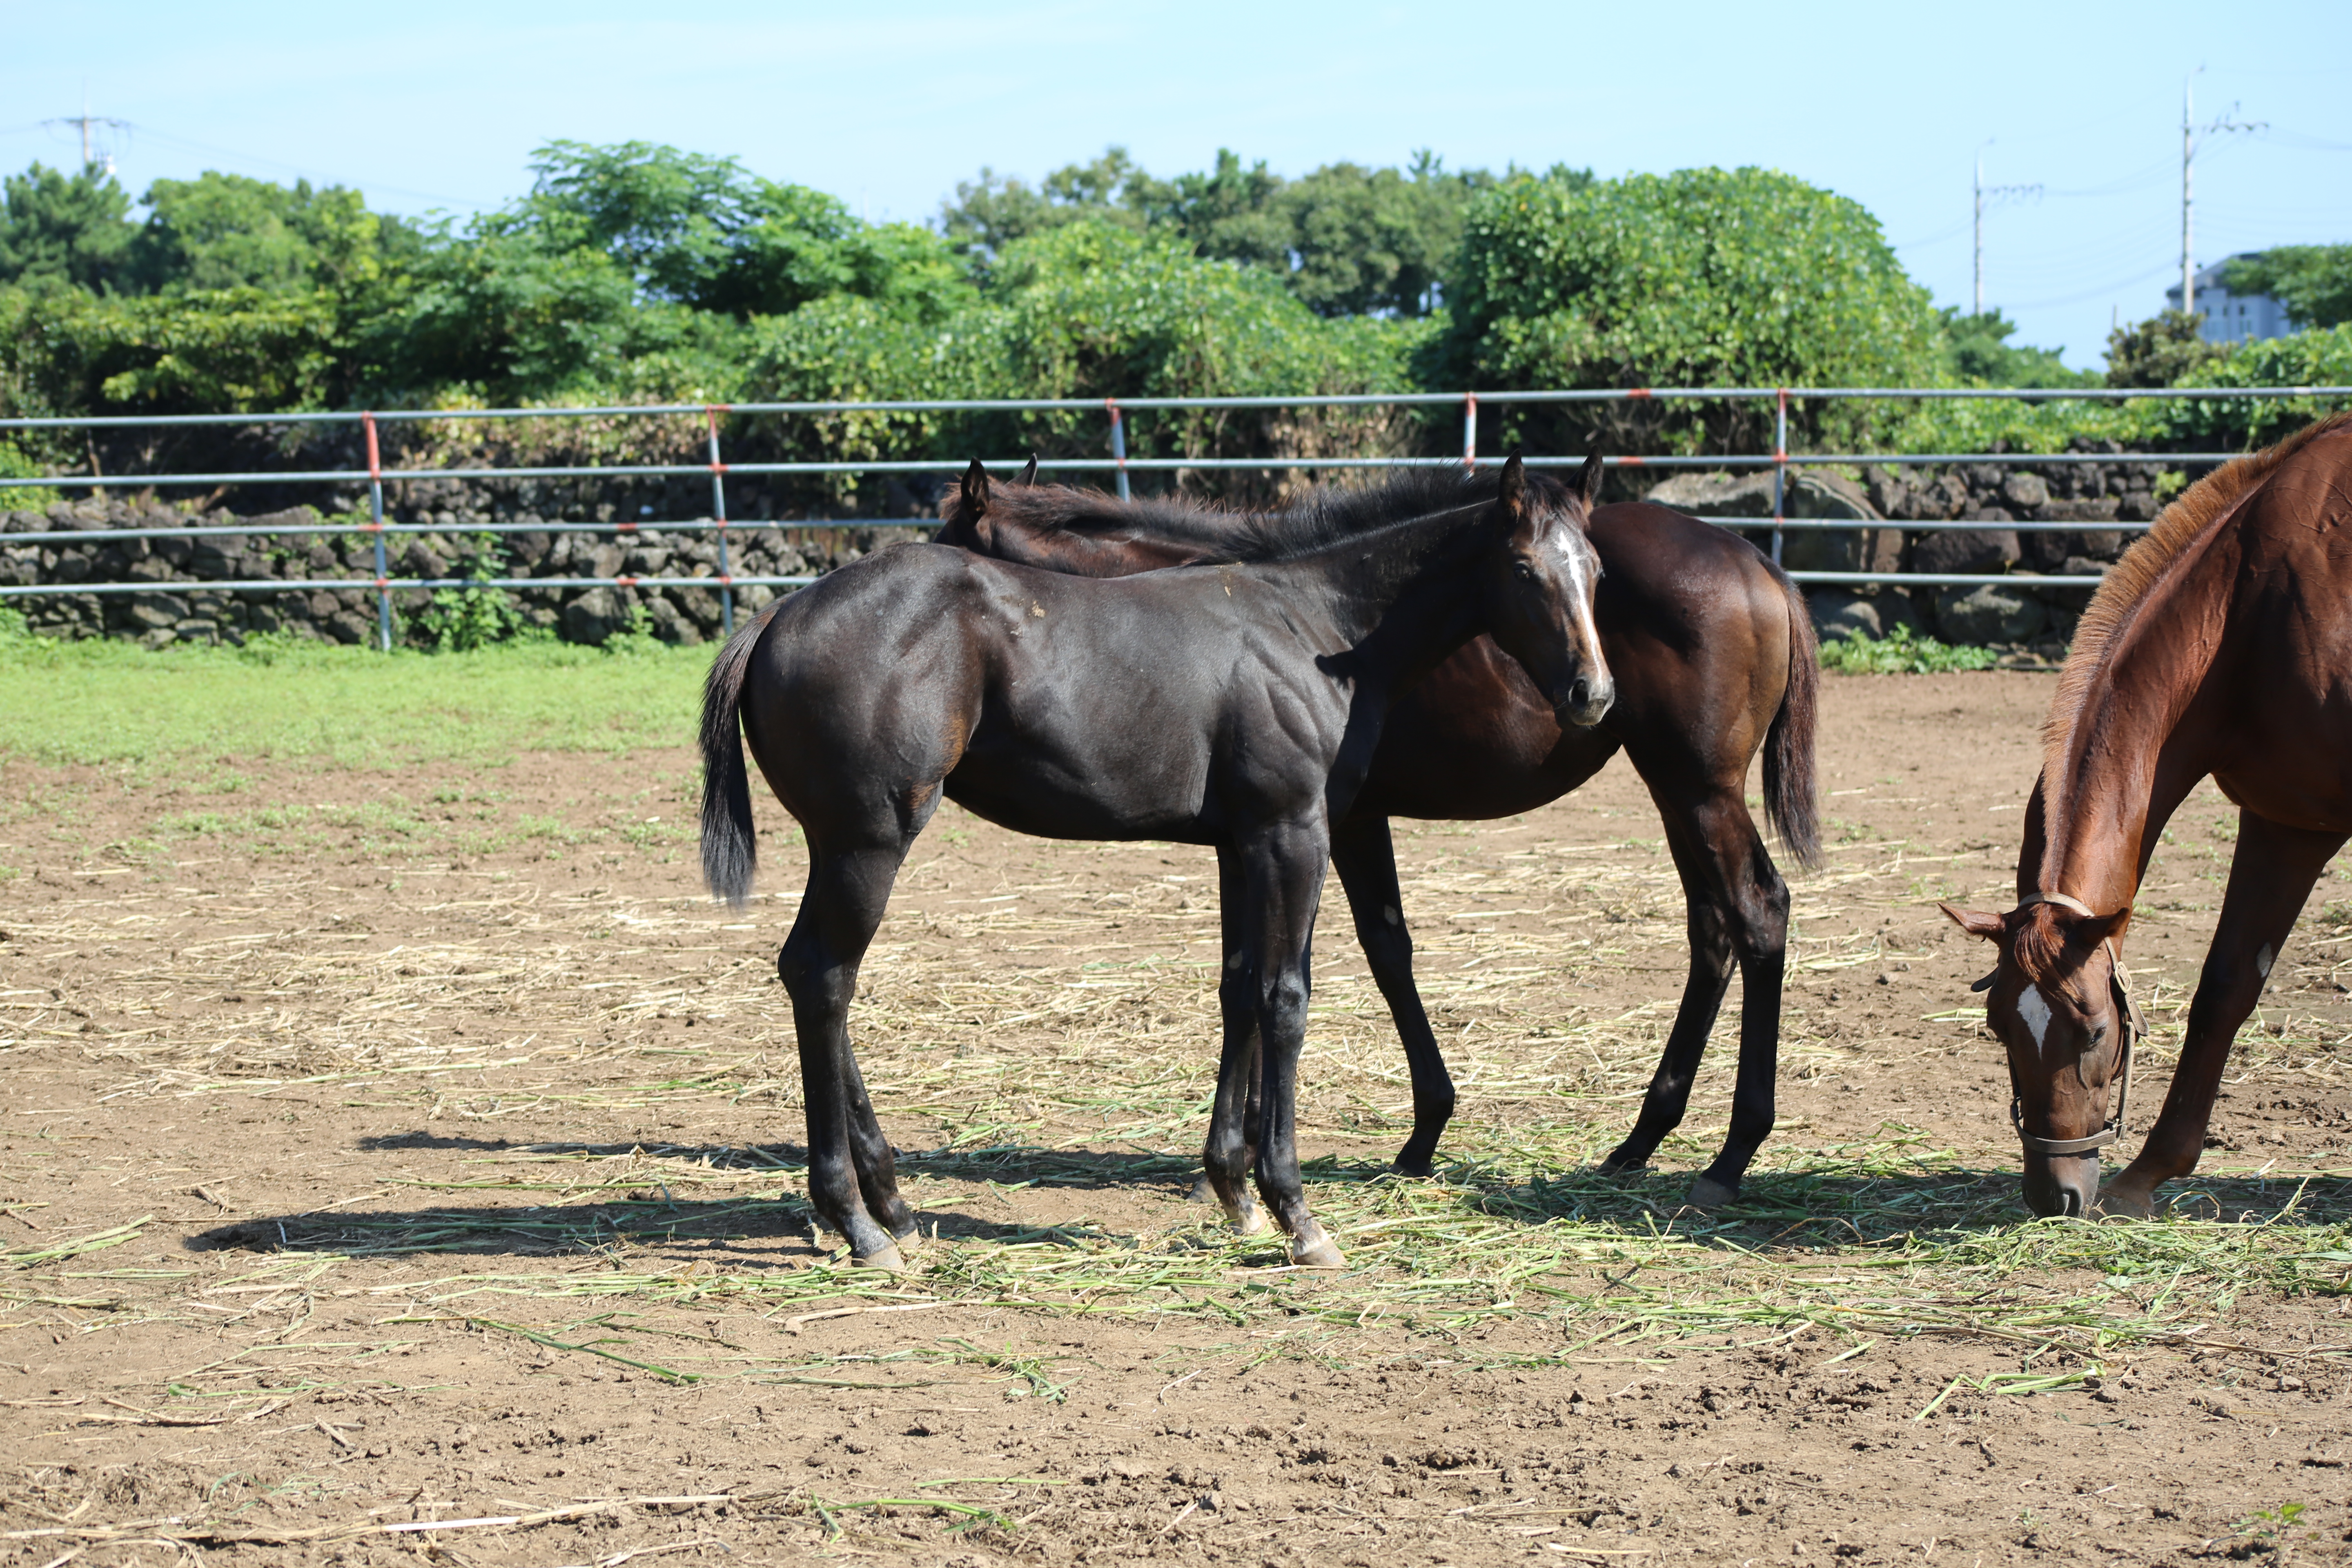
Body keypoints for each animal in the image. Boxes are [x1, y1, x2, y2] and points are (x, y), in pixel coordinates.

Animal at [706, 461, 1608, 1269]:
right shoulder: (1293, 832)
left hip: (840, 845)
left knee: (810, 975)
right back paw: (859, 1221)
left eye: (1595, 570)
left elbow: (1241, 990)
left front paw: (1235, 1192)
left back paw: (891, 1205)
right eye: (1525, 570)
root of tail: (778, 613)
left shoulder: (1243, 844)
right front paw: (1296, 1212)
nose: (1592, 695)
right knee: (824, 978)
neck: (1317, 625)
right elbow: (1286, 1001)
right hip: (869, 843)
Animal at [936, 461, 1815, 1213]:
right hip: (1673, 790)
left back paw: (1732, 1154)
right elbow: (1273, 970)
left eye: (946, 541)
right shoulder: (1262, 834)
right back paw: (1641, 1140)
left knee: (1759, 911)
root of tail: (1757, 561)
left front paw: (1397, 1134)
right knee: (1713, 931)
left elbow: (1362, 957)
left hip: (1699, 789)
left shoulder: (1333, 822)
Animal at [1938, 411, 2352, 1222]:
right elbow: (2226, 988)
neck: (2252, 607)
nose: (2056, 1194)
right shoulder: (2286, 825)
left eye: (2096, 1029)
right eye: (2000, 1024)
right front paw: (2150, 1174)